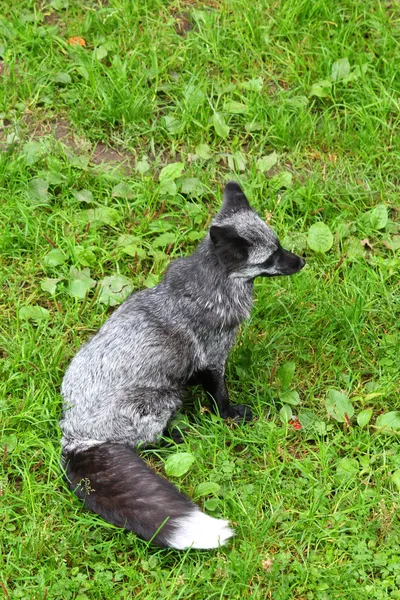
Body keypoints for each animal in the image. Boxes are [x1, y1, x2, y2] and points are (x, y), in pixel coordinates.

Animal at [59, 182, 304, 548]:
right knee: (149, 441)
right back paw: (179, 435)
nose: (302, 261)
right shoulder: (213, 360)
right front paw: (230, 417)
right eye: (270, 257)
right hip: (164, 399)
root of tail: (74, 435)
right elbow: (220, 398)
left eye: (279, 245)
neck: (208, 290)